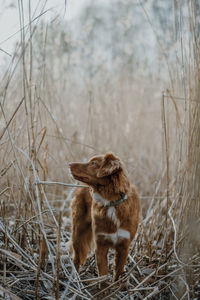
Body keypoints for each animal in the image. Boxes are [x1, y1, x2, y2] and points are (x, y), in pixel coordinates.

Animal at [69, 152, 140, 282]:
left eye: (93, 163)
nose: (69, 164)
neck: (111, 202)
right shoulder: (101, 245)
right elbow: (103, 277)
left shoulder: (124, 246)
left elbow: (117, 273)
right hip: (77, 232)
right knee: (76, 258)